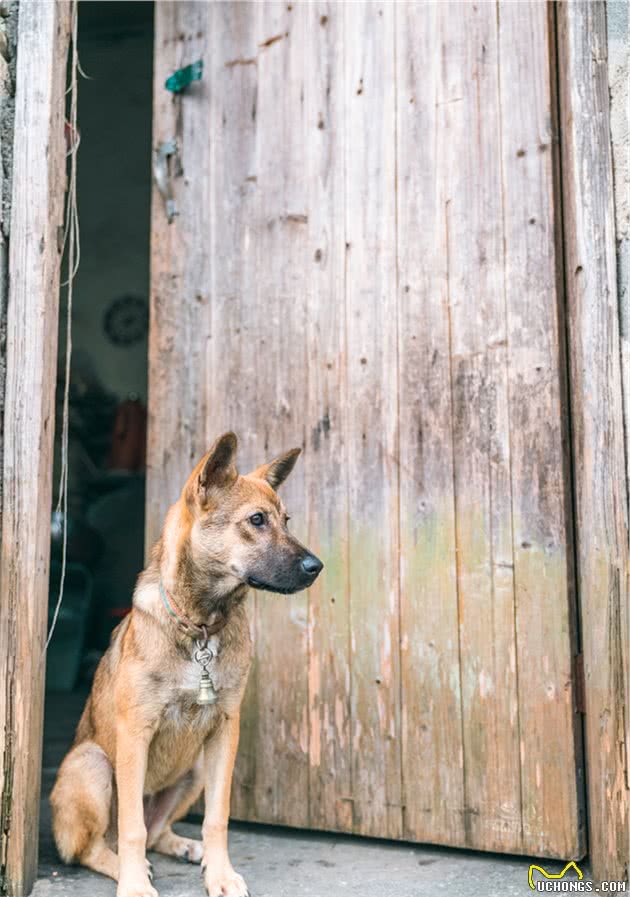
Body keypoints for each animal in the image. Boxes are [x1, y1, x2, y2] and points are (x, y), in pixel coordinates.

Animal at [51, 430, 324, 892]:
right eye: (257, 520)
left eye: (285, 520)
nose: (316, 566)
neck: (201, 629)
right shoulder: (135, 734)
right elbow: (132, 827)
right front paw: (134, 885)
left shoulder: (224, 732)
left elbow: (217, 818)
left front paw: (220, 874)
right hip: (92, 763)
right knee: (96, 846)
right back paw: (126, 866)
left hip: (194, 770)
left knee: (157, 830)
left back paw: (185, 848)